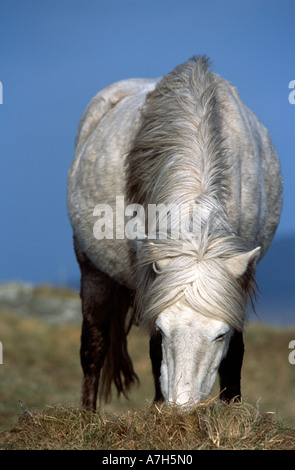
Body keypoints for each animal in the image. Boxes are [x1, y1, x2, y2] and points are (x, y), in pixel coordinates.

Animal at [66, 55, 282, 410]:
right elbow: (153, 352)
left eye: (220, 334)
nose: (182, 408)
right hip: (92, 269)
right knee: (93, 348)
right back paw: (87, 414)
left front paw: (233, 410)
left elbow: (235, 355)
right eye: (165, 330)